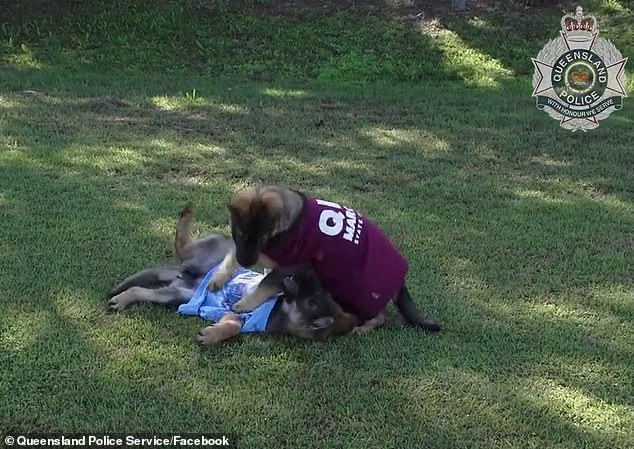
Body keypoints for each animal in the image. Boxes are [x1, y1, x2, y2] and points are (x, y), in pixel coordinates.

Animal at [108, 203, 356, 344]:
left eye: (312, 298)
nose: (291, 276)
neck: (280, 310)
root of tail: (186, 271)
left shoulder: (239, 318)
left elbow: (233, 325)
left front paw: (211, 335)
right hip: (219, 247)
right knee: (182, 244)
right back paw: (187, 213)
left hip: (177, 295)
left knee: (140, 289)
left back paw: (122, 298)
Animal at [207, 184, 440, 334]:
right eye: (240, 234)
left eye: (263, 238)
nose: (246, 263)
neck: (289, 224)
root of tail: (400, 280)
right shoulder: (266, 254)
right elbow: (231, 256)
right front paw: (218, 279)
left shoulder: (291, 263)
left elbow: (266, 283)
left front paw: (244, 304)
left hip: (352, 289)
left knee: (379, 315)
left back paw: (366, 326)